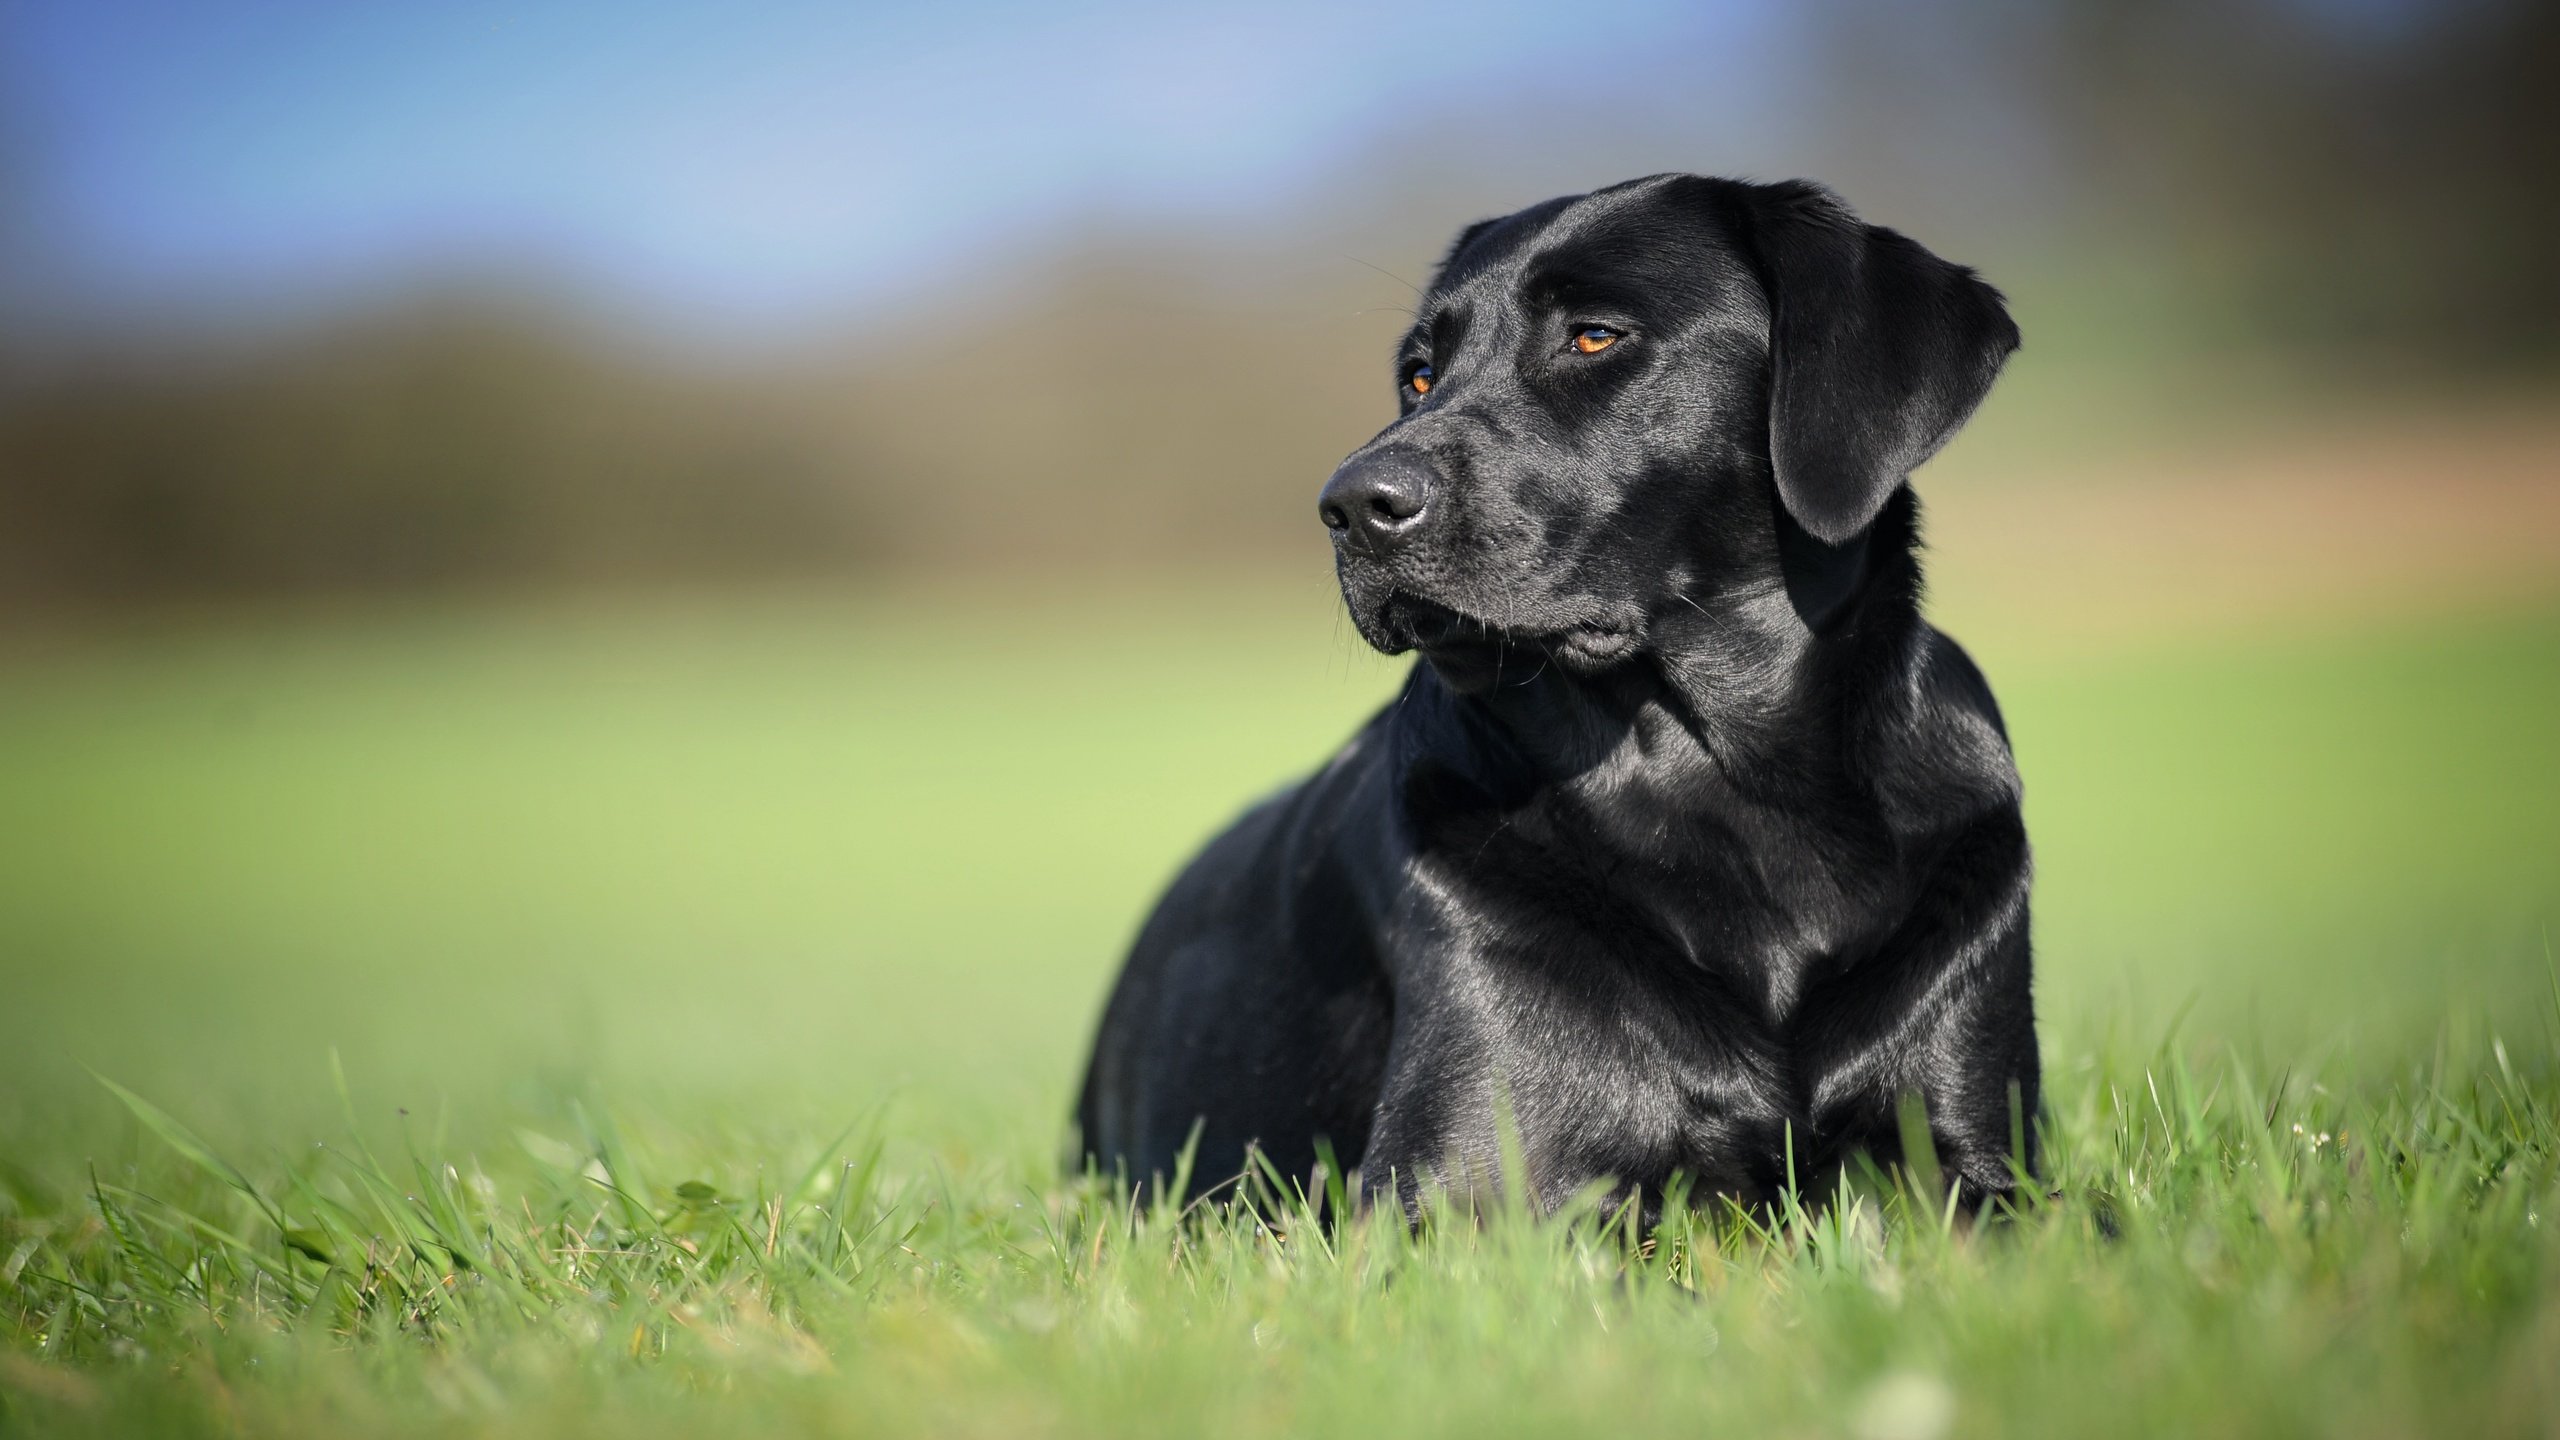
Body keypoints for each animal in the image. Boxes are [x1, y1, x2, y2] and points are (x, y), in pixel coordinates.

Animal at [1080, 176, 2037, 1209]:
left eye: (1593, 336)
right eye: (1421, 375)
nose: (1352, 505)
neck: (1725, 785)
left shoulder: (1980, 1157)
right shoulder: (1457, 1193)